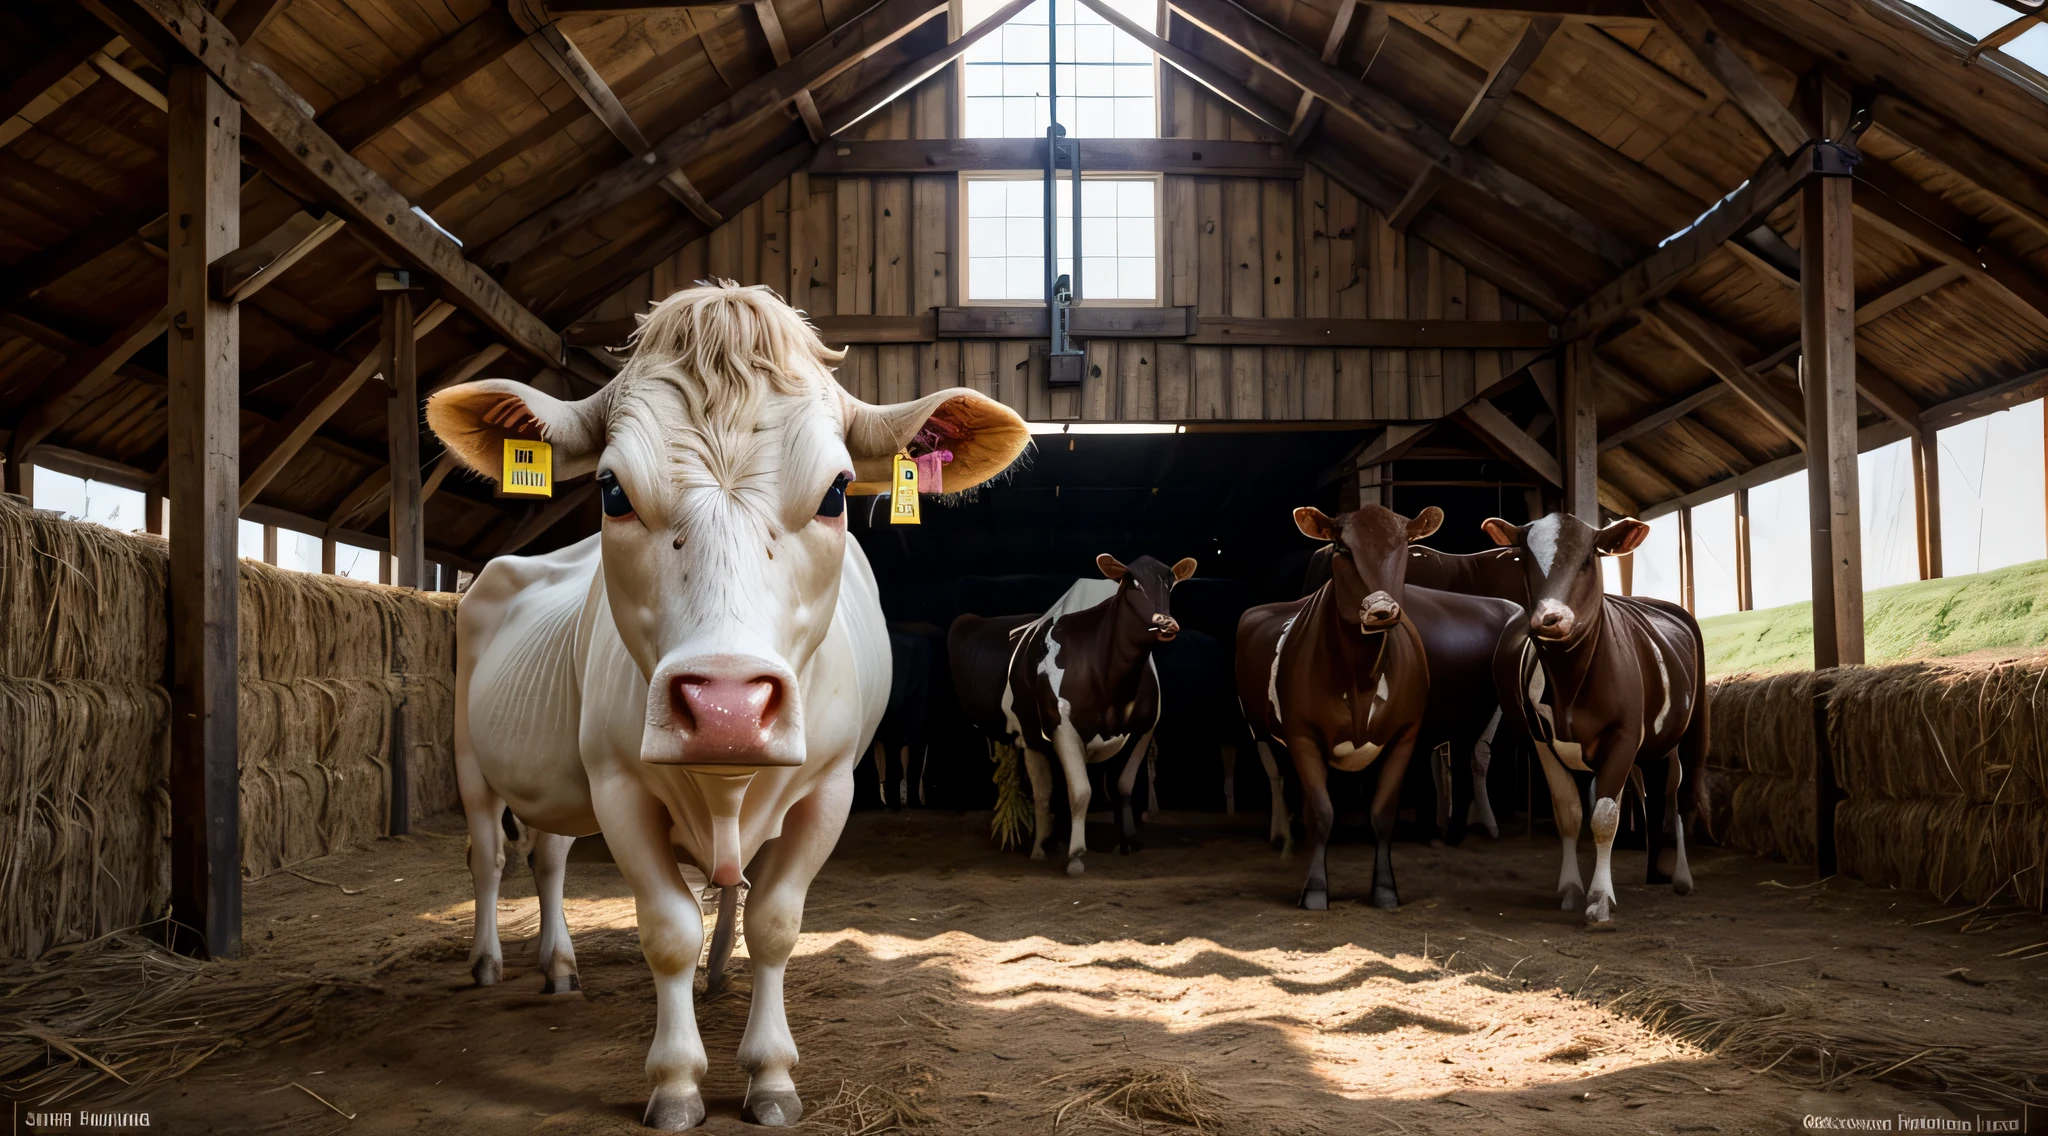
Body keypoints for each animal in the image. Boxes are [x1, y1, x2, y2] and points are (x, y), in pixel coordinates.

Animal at [438, 284, 1032, 1129]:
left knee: (548, 855)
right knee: (489, 853)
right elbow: (668, 929)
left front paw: (771, 1073)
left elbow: (774, 922)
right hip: (471, 758)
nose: (726, 705)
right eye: (612, 491)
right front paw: (677, 1081)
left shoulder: (830, 788)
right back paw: (489, 958)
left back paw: (562, 964)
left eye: (837, 492)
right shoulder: (617, 784)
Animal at [946, 556, 1196, 876]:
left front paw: (1127, 841)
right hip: (1031, 737)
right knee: (1043, 794)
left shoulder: (1144, 730)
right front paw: (1076, 855)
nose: (1165, 623)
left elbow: (1123, 788)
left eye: (1171, 583)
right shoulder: (1063, 729)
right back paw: (1041, 848)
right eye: (1133, 583)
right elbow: (1080, 792)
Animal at [1228, 505, 1523, 908]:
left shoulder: (1405, 735)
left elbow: (1383, 813)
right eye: (1342, 548)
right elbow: (1321, 811)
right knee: (1281, 779)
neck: (1361, 678)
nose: (1382, 610)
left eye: (1403, 546)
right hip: (1262, 733)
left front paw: (1385, 890)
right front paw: (1315, 890)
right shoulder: (1302, 736)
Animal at [1490, 513, 1712, 925]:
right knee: (1652, 792)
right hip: (1651, 749)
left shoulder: (1624, 737)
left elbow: (1605, 816)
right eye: (1524, 559)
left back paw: (1681, 877)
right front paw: (1571, 888)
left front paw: (1600, 897)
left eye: (1588, 559)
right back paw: (1653, 871)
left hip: (1690, 732)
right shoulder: (1542, 741)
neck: (1571, 688)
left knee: (1679, 795)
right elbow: (1570, 813)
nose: (1550, 617)